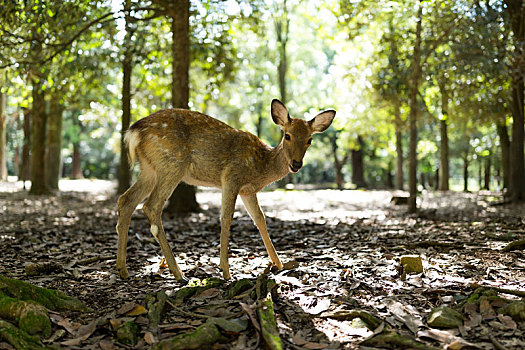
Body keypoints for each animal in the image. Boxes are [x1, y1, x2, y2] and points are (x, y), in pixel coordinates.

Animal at [115, 98, 336, 278]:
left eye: (310, 140)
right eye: (287, 135)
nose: (296, 164)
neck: (261, 167)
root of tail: (134, 132)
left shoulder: (248, 191)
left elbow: (260, 219)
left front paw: (278, 264)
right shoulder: (231, 177)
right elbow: (226, 217)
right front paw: (225, 270)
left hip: (149, 169)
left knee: (125, 200)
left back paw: (123, 270)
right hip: (172, 164)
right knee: (151, 206)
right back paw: (178, 273)